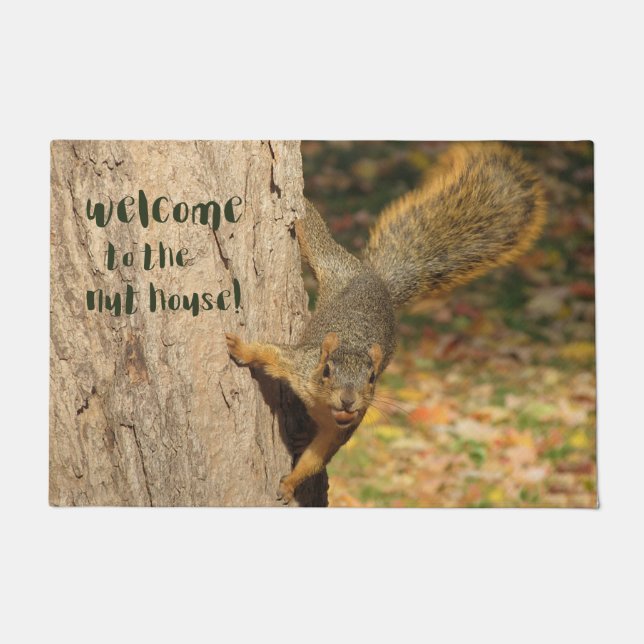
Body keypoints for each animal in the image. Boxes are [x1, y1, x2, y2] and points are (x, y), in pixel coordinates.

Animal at [226, 142, 547, 505]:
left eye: (372, 378)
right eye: (327, 371)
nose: (348, 401)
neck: (323, 406)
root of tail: (378, 281)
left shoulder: (344, 429)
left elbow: (316, 457)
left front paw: (291, 483)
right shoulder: (300, 366)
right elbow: (271, 353)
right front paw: (241, 347)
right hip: (333, 264)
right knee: (314, 235)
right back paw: (302, 203)